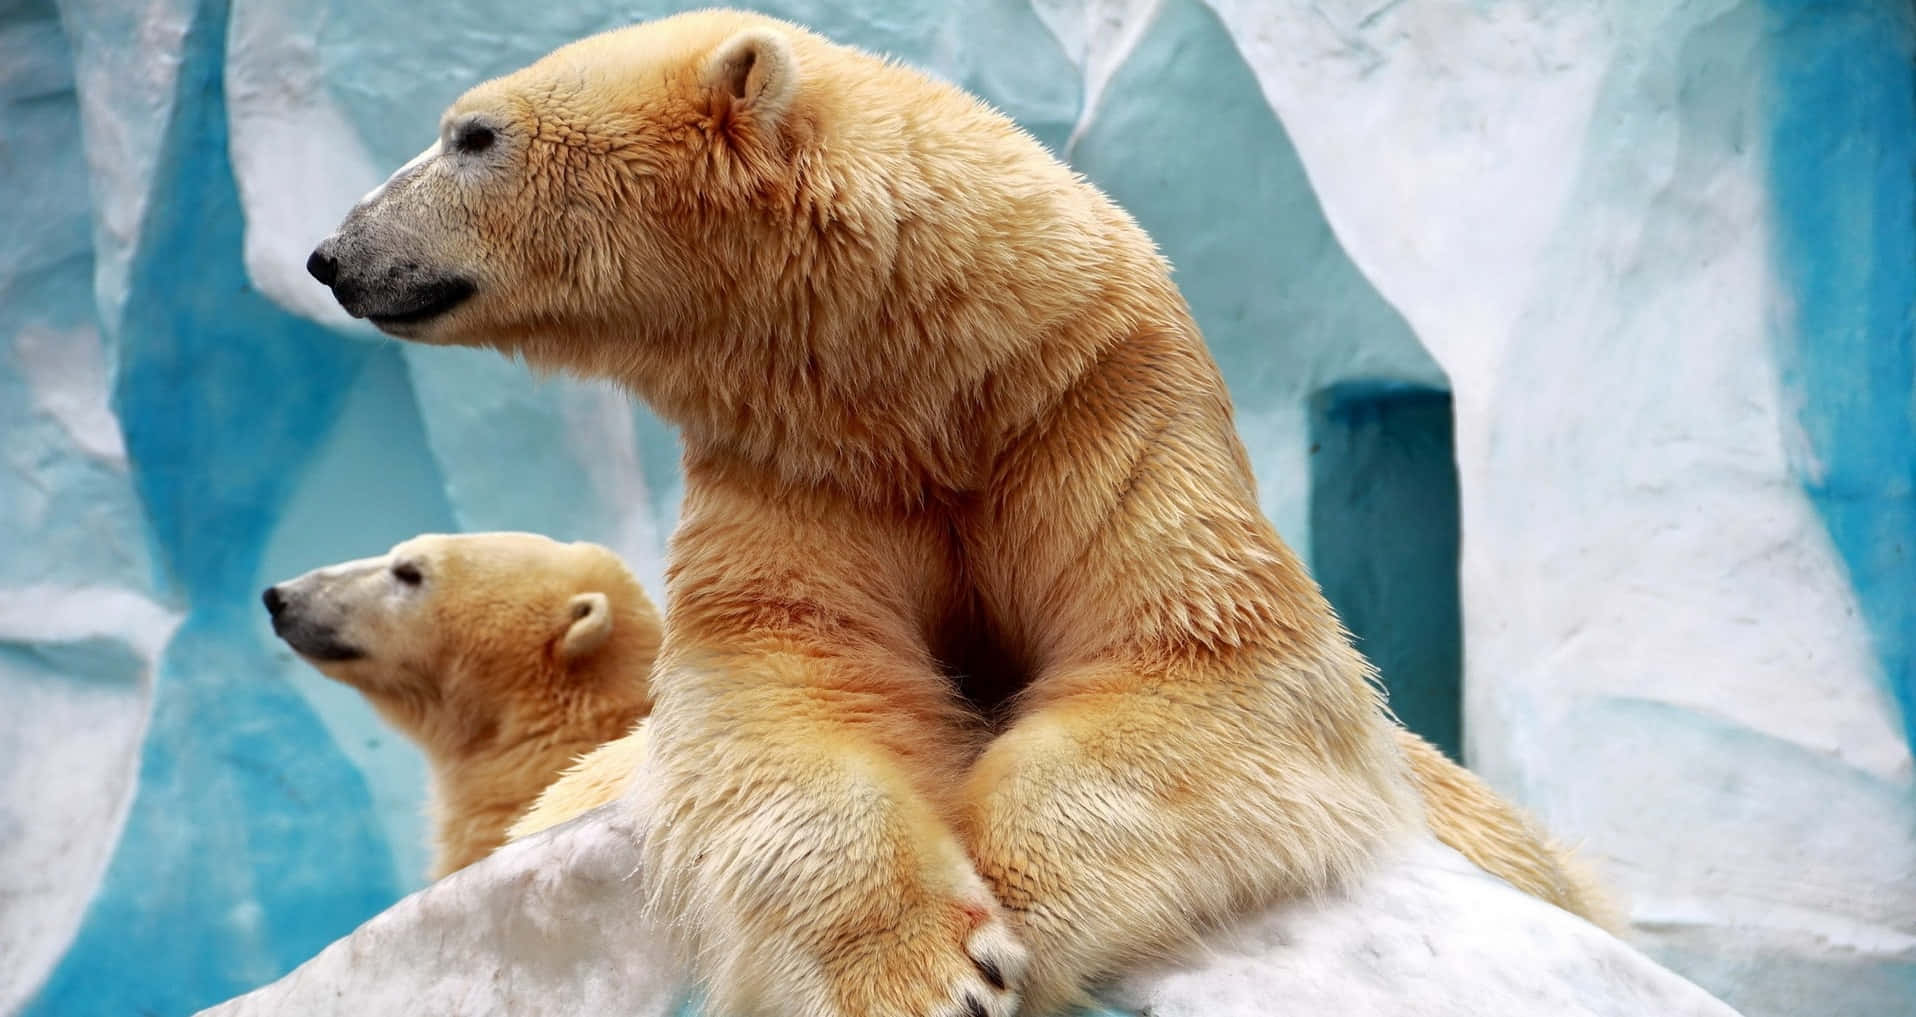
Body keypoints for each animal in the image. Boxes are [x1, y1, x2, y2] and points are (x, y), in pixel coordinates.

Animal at [306, 10, 1608, 1014]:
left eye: (471, 134)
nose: (329, 253)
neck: (930, 380)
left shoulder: (1091, 402)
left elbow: (1194, 653)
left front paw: (1011, 924)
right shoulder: (803, 462)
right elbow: (784, 689)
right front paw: (919, 966)